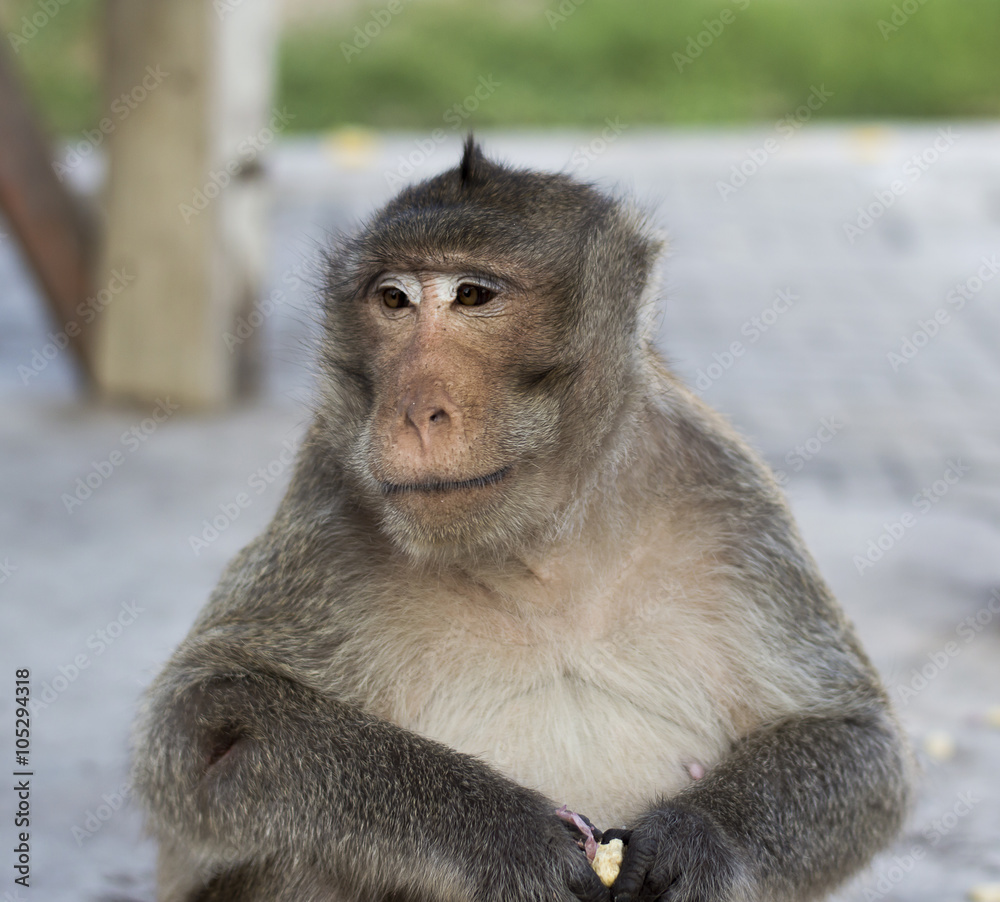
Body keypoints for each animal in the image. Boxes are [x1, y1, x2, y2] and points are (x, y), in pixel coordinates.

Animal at [132, 137, 912, 902]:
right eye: (393, 299)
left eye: (472, 295)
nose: (414, 410)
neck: (539, 549)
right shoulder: (328, 499)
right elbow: (203, 726)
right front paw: (500, 832)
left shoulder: (730, 498)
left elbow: (854, 739)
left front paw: (697, 841)